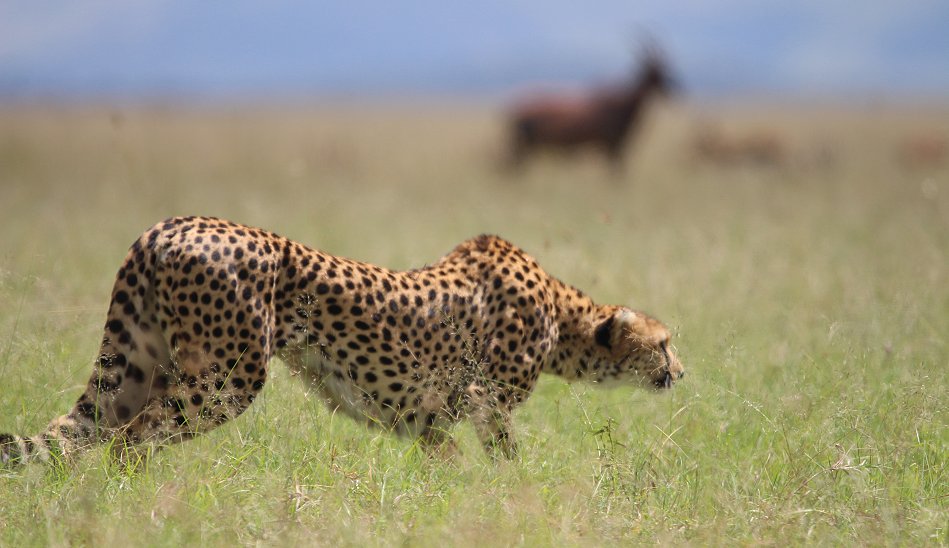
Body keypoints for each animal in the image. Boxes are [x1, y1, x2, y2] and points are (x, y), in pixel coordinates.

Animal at [0, 216, 680, 464]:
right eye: (666, 342)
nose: (681, 371)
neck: (567, 314)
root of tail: (166, 226)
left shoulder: (428, 420)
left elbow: (445, 464)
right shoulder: (487, 407)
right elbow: (504, 461)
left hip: (141, 366)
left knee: (97, 429)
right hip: (227, 377)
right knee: (134, 436)